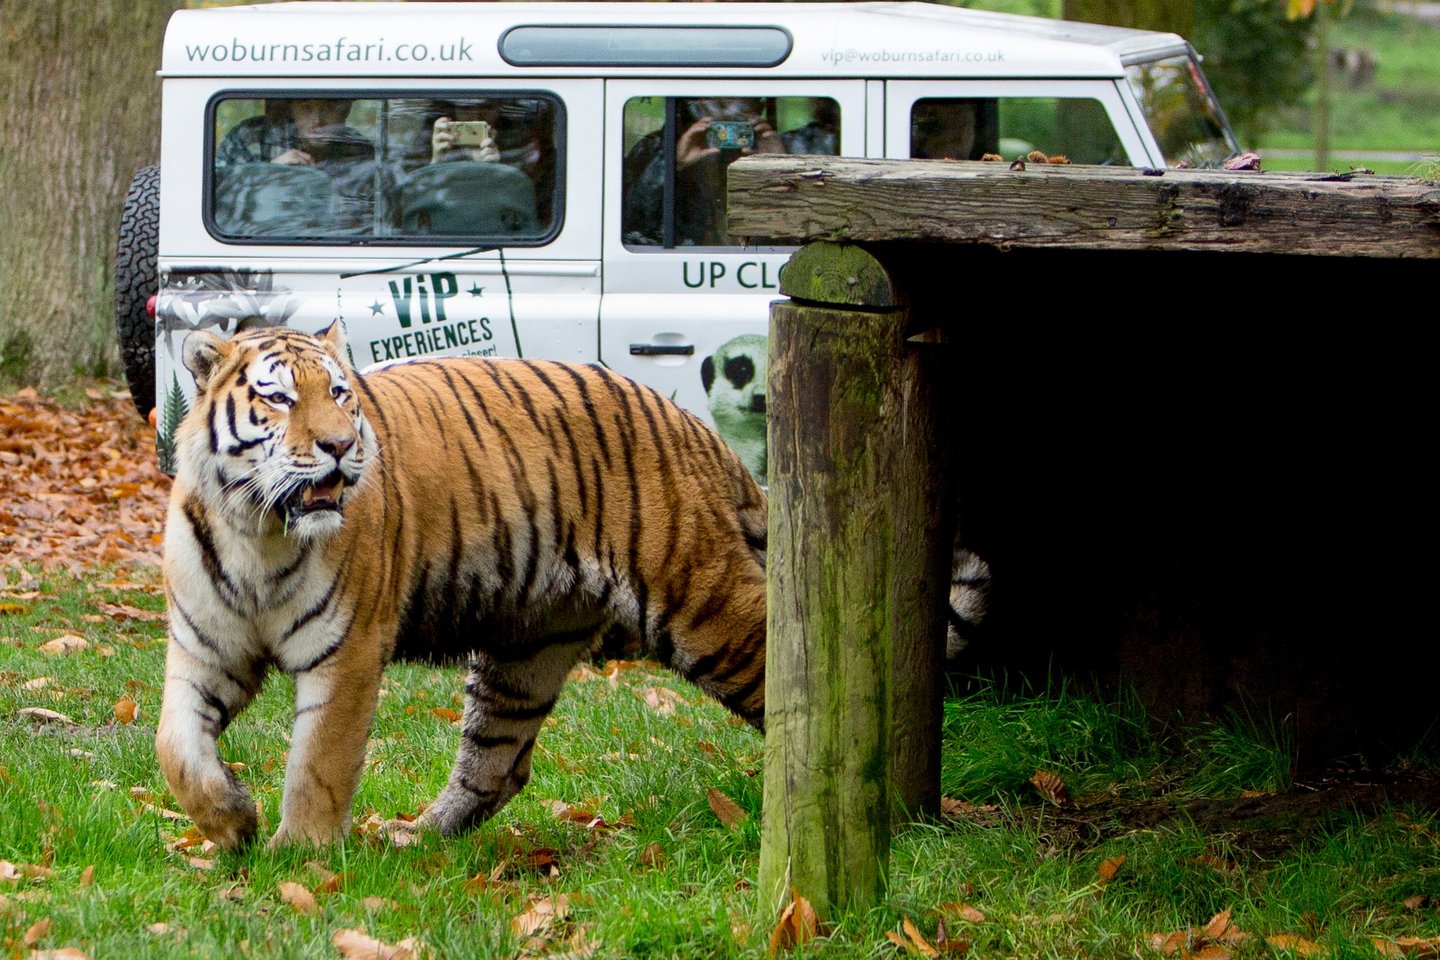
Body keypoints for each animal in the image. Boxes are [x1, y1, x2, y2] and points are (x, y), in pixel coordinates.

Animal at [155, 323, 767, 849]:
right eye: (280, 399)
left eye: (338, 393)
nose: (340, 445)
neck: (259, 534)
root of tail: (691, 426)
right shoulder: (205, 648)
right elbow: (175, 746)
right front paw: (234, 822)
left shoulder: (347, 652)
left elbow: (318, 763)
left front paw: (302, 855)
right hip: (527, 651)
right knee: (498, 764)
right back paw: (418, 836)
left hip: (704, 607)